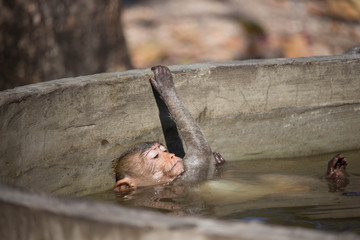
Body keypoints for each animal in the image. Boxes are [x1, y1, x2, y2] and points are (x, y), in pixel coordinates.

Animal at [113, 65, 225, 193]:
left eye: (164, 151)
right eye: (155, 156)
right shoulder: (195, 167)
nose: (171, 155)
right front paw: (165, 84)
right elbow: (199, 142)